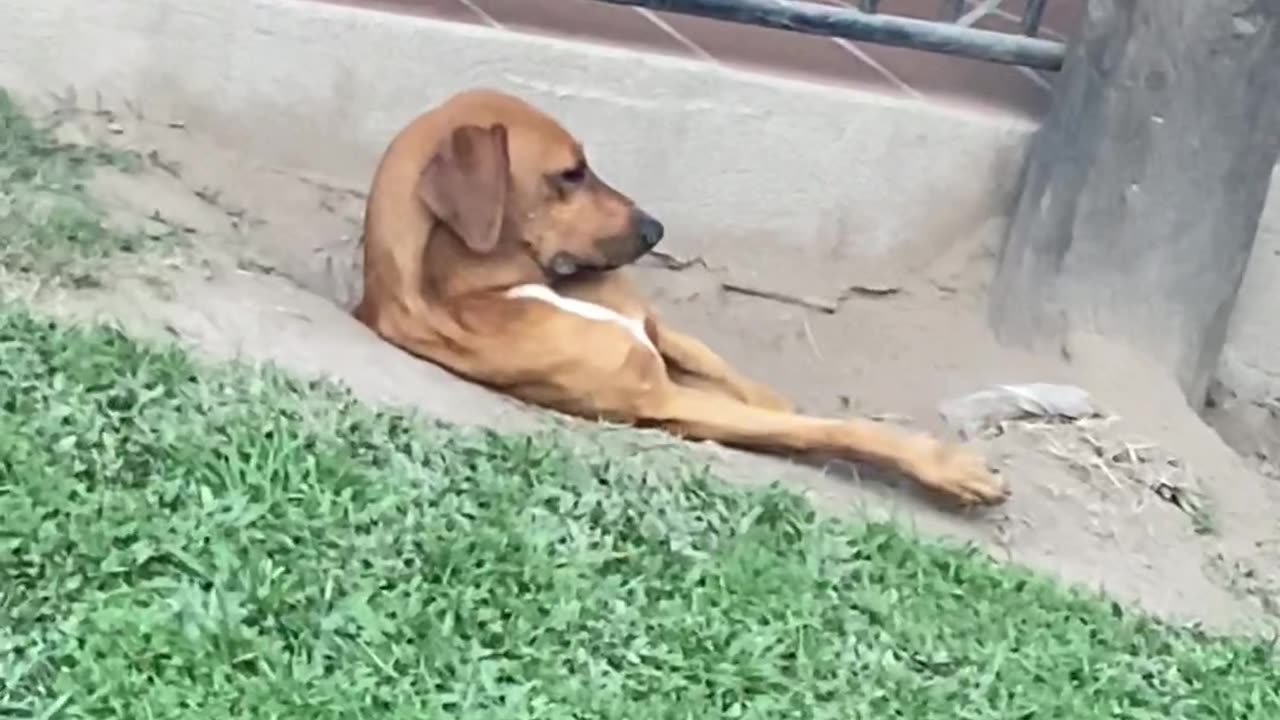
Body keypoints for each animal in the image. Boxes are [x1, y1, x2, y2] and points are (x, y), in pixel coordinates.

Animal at [353, 89, 1008, 504]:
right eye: (570, 175)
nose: (656, 230)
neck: (511, 285)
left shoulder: (657, 329)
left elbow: (751, 387)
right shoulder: (661, 399)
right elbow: (827, 428)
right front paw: (941, 465)